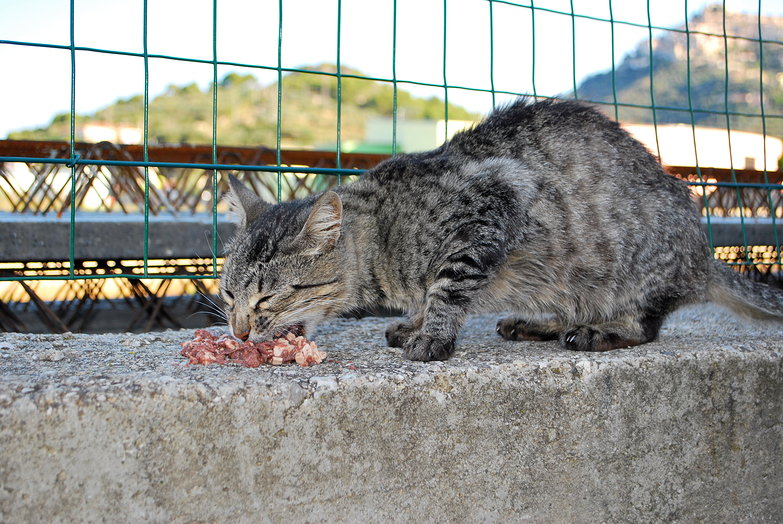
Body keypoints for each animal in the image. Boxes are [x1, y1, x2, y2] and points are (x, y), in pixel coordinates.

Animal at [219, 97, 783, 360]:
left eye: (267, 298)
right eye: (227, 296)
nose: (239, 331)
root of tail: (702, 257)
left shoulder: (493, 200)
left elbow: (447, 286)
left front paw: (433, 334)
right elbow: (428, 296)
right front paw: (415, 323)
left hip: (638, 271)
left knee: (645, 325)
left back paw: (599, 331)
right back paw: (542, 323)